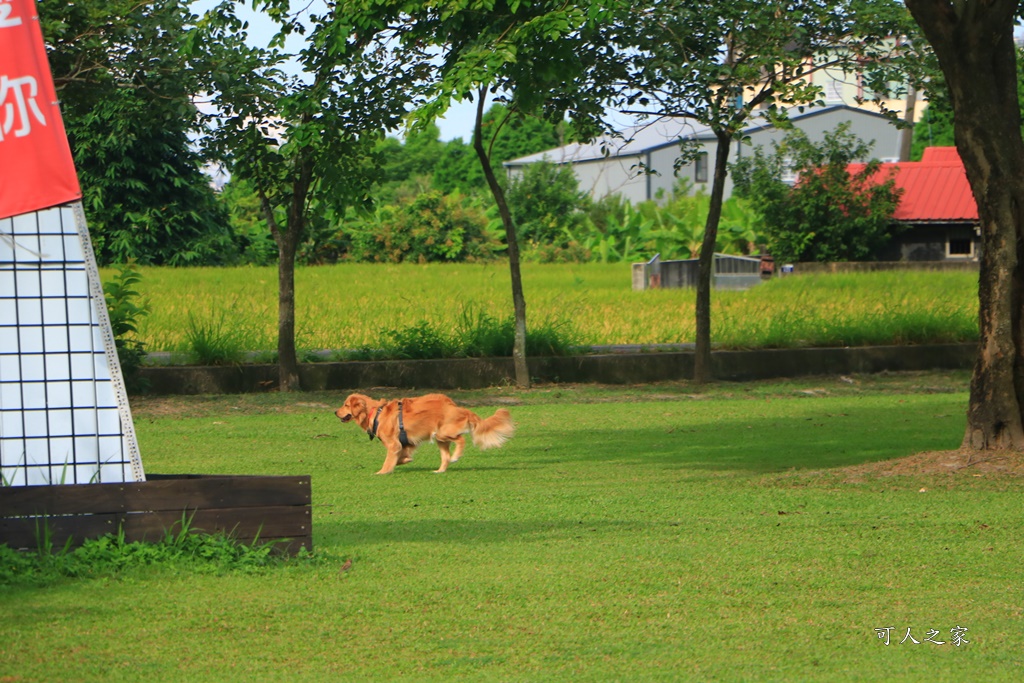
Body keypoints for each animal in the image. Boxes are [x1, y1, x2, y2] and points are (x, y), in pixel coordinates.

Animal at [333, 393, 512, 473]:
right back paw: (440, 470)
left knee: (461, 440)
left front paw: (382, 472)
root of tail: (455, 407)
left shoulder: (393, 444)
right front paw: (405, 460)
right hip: (439, 438)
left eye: (345, 405)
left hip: (442, 433)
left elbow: (388, 460)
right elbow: (401, 457)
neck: (375, 413)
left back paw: (456, 456)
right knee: (445, 457)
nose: (335, 412)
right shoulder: (405, 444)